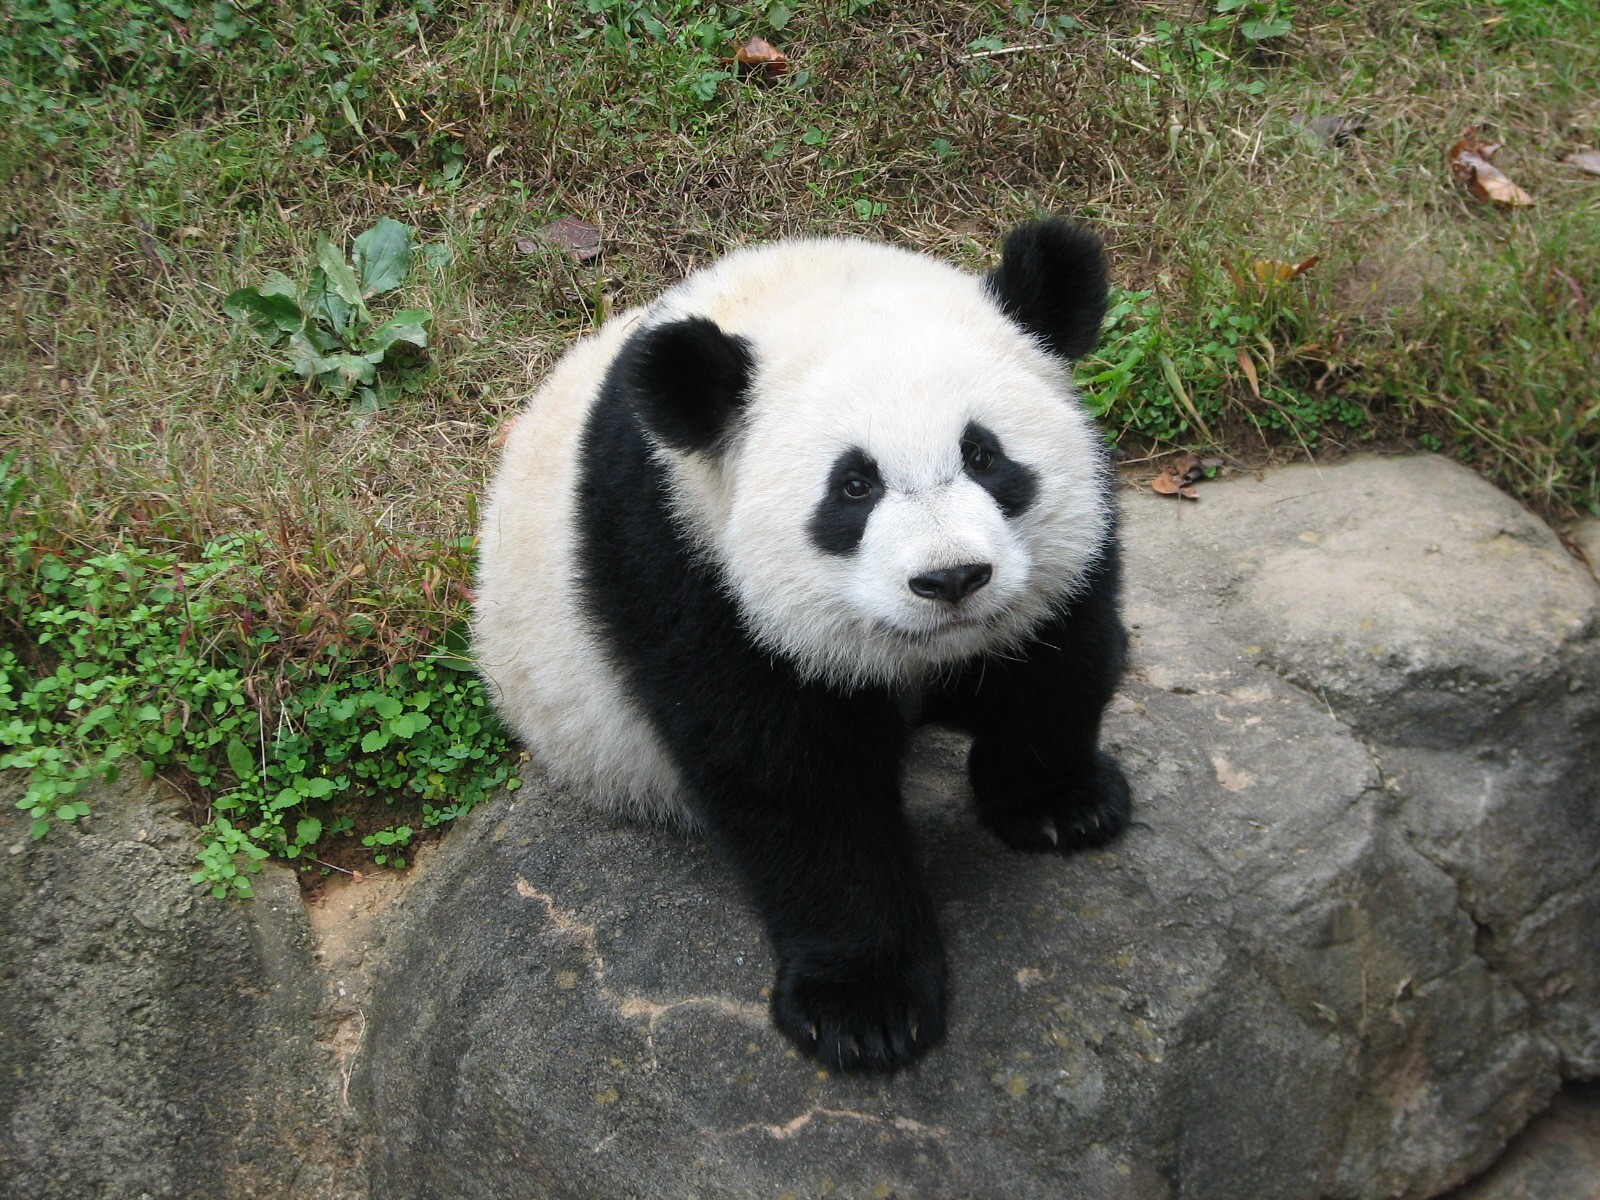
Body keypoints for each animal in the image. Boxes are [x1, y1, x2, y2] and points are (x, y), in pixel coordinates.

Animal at [474, 219, 1129, 1074]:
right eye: (854, 486)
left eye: (984, 456)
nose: (951, 579)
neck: (796, 287)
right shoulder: (681, 555)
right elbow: (792, 775)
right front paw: (865, 1009)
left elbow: (1062, 655)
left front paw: (1061, 806)